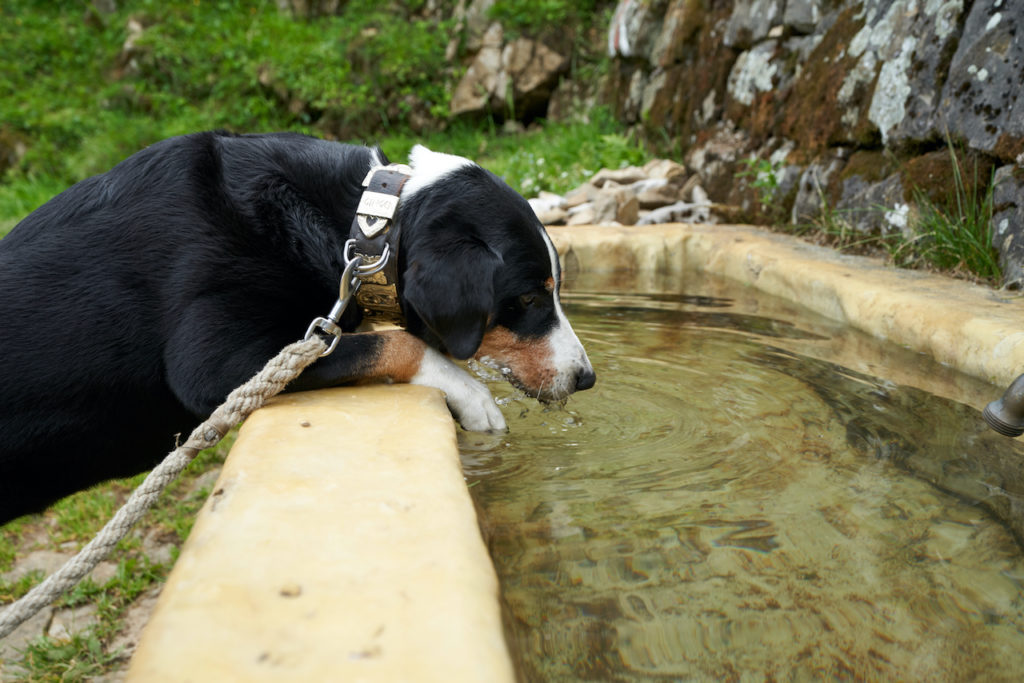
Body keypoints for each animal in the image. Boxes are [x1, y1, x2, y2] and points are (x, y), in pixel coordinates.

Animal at [0, 131, 595, 523]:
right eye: (526, 298)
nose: (586, 378)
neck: (366, 226)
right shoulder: (219, 363)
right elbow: (397, 344)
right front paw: (473, 396)